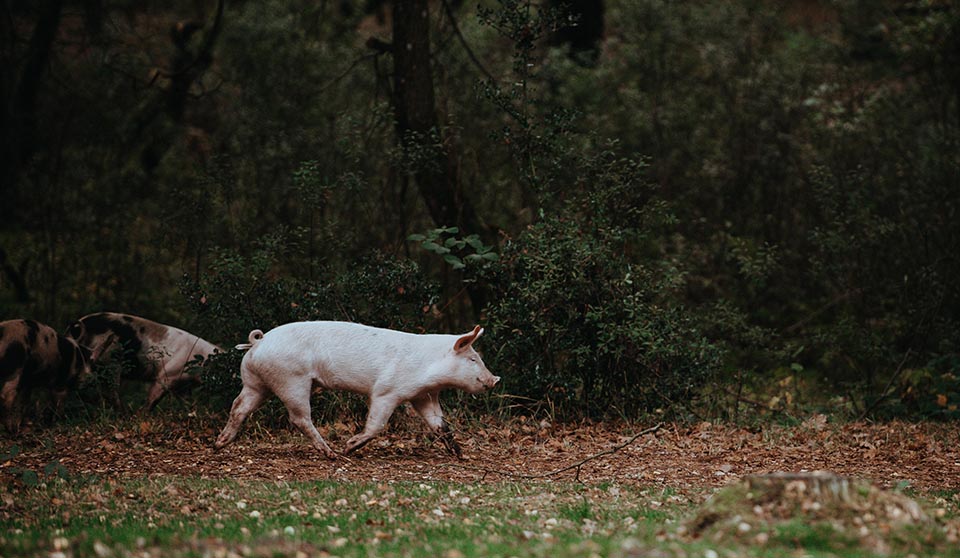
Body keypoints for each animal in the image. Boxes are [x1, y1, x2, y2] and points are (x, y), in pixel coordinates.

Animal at [214, 322, 498, 462]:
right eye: (473, 358)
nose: (495, 379)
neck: (428, 367)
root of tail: (259, 342)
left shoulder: (423, 396)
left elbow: (440, 425)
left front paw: (461, 455)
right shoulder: (386, 391)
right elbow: (377, 424)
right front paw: (349, 446)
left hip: (256, 383)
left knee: (239, 406)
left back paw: (219, 444)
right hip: (292, 380)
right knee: (299, 418)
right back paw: (333, 454)